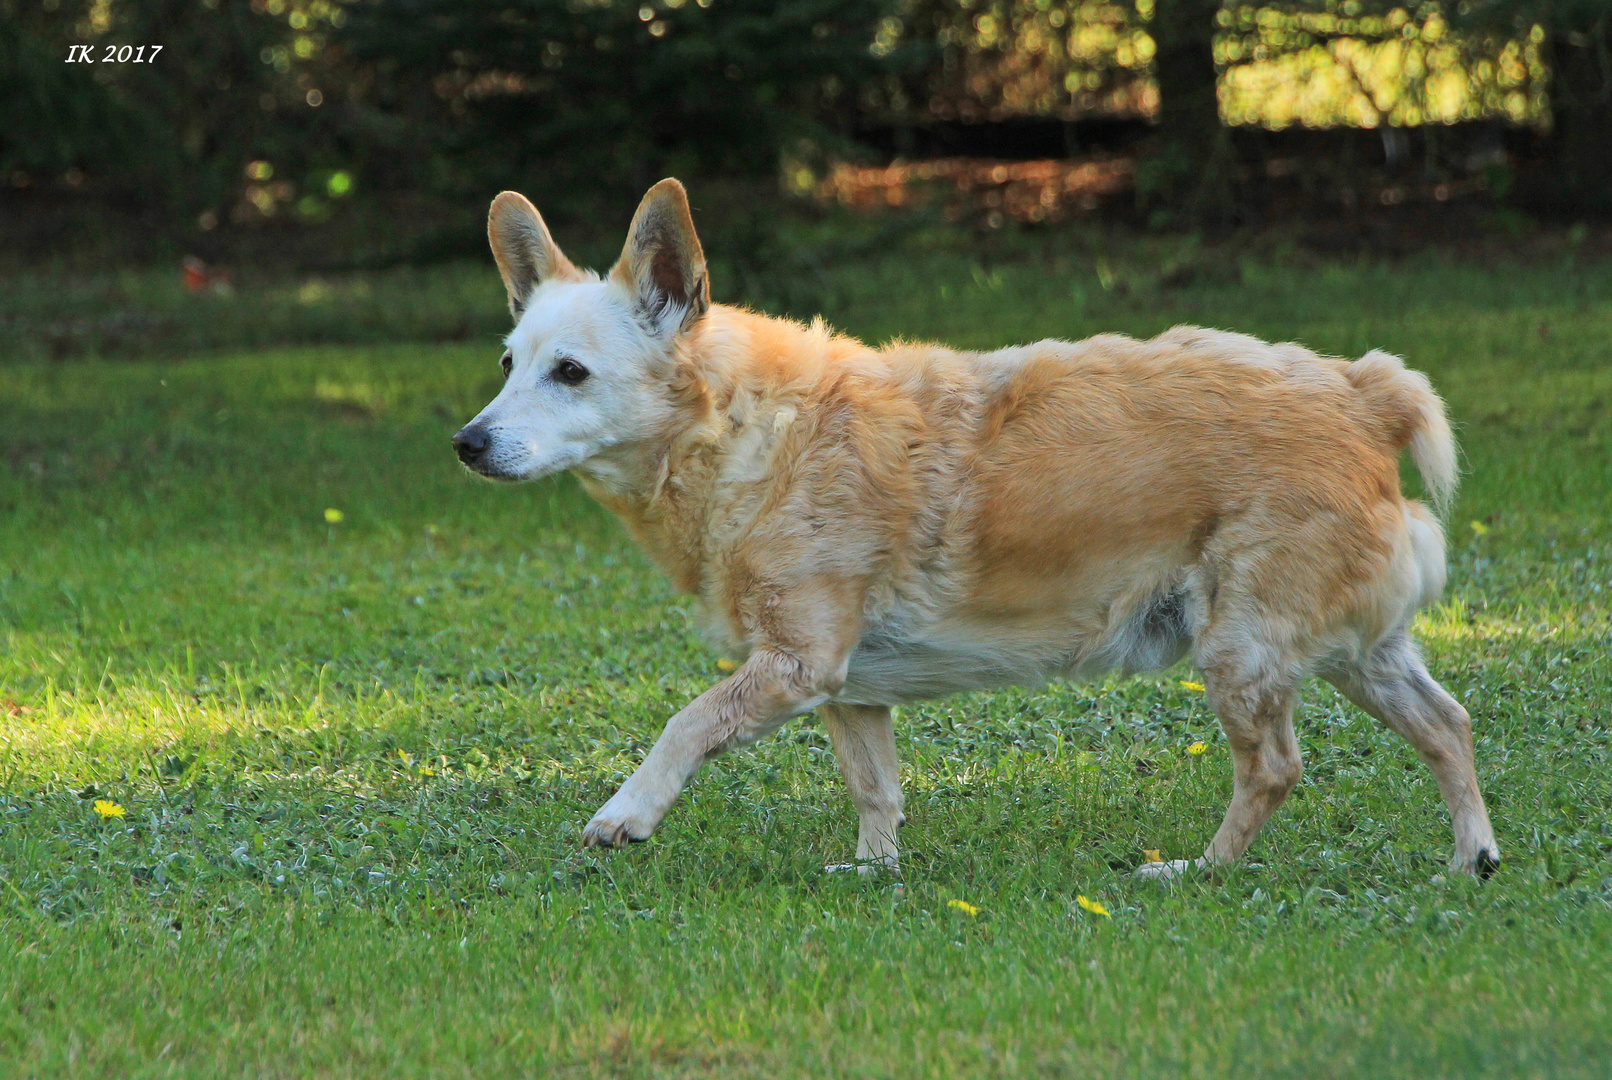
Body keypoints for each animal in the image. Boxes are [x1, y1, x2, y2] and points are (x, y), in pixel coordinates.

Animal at [451, 177, 1495, 876]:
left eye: (571, 372)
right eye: (507, 363)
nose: (467, 443)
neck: (752, 431)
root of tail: (1360, 393)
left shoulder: (794, 666)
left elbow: (684, 723)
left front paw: (627, 812)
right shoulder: (846, 686)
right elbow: (875, 786)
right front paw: (874, 871)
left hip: (1243, 648)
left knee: (1276, 768)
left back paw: (1199, 870)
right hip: (1358, 651)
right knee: (1448, 724)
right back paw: (1470, 859)